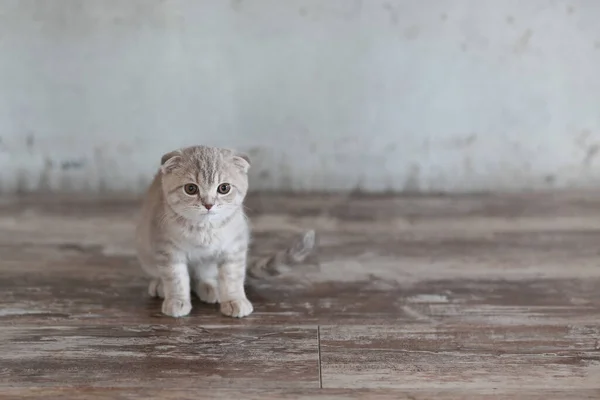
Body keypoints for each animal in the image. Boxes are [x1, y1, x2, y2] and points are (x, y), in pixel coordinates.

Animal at [135, 145, 314, 318]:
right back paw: (160, 285)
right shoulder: (167, 248)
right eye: (191, 188)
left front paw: (234, 300)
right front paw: (177, 301)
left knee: (202, 276)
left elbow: (232, 276)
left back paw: (210, 287)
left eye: (224, 188)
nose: (208, 204)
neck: (204, 229)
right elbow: (175, 277)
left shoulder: (234, 246)